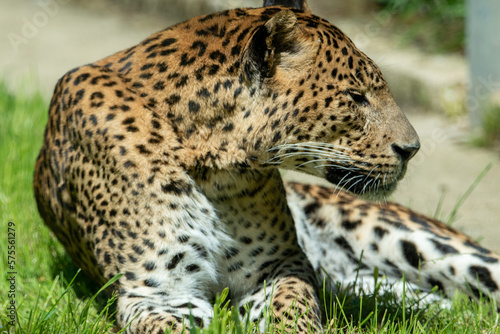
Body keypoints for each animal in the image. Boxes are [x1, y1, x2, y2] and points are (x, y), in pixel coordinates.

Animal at [33, 0, 500, 332]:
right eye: (355, 97)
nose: (412, 148)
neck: (210, 160)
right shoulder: (159, 291)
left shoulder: (280, 265)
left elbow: (293, 312)